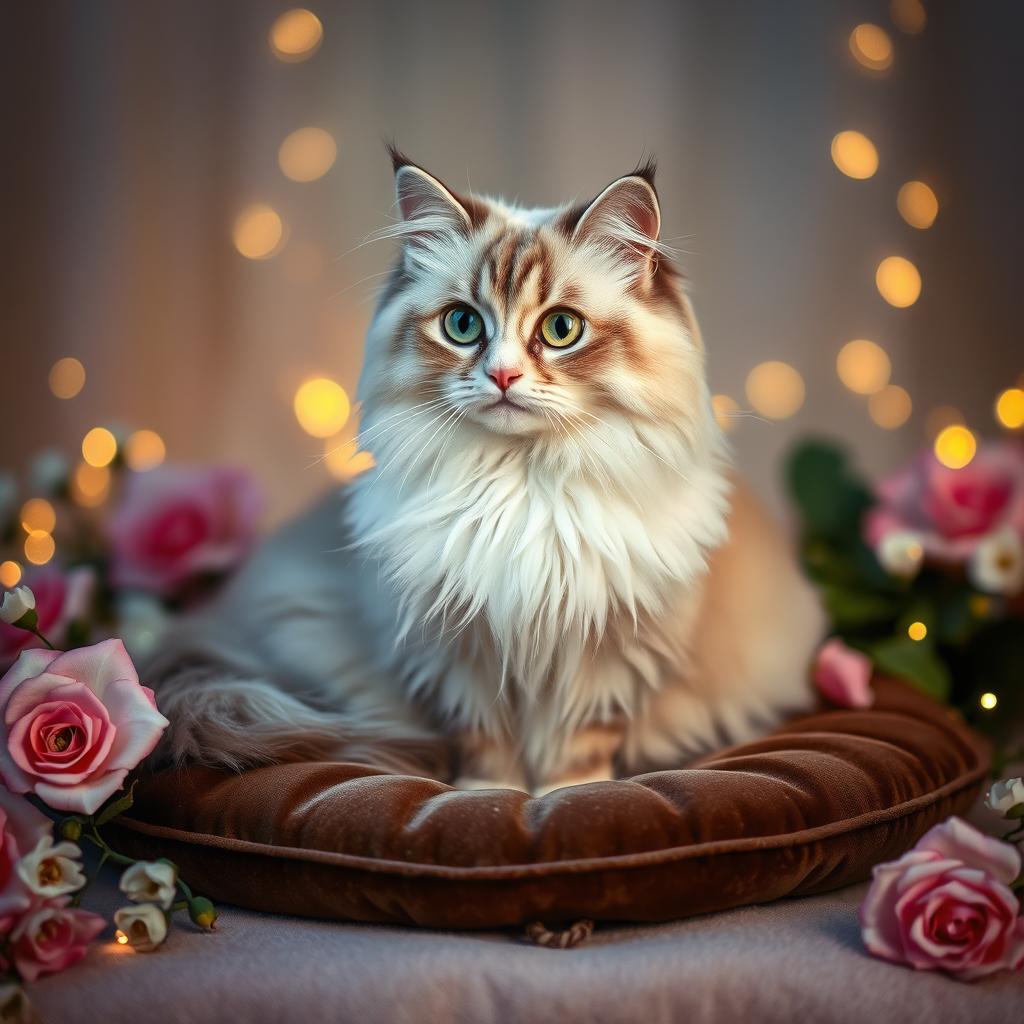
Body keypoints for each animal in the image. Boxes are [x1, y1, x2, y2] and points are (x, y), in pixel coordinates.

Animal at [146, 149, 823, 790]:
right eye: (463, 324)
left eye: (561, 329)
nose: (501, 375)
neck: (520, 486)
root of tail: (211, 619)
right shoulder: (456, 651)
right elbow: (486, 745)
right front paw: (485, 795)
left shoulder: (609, 653)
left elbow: (578, 754)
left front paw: (568, 797)